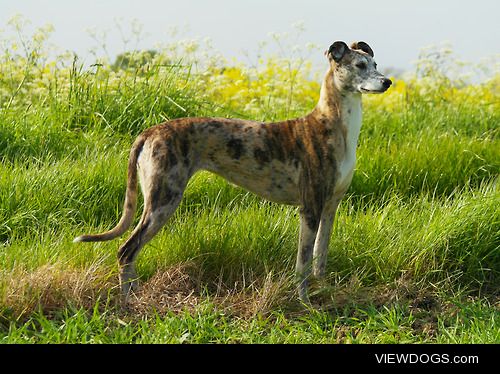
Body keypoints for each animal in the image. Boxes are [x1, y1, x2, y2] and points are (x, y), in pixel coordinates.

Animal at [75, 41, 394, 304]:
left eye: (375, 63)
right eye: (359, 65)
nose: (387, 81)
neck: (333, 125)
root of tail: (148, 132)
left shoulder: (329, 207)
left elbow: (319, 258)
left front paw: (324, 290)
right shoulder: (310, 208)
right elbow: (302, 263)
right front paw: (304, 302)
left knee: (130, 253)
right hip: (162, 201)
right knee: (126, 251)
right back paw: (128, 303)